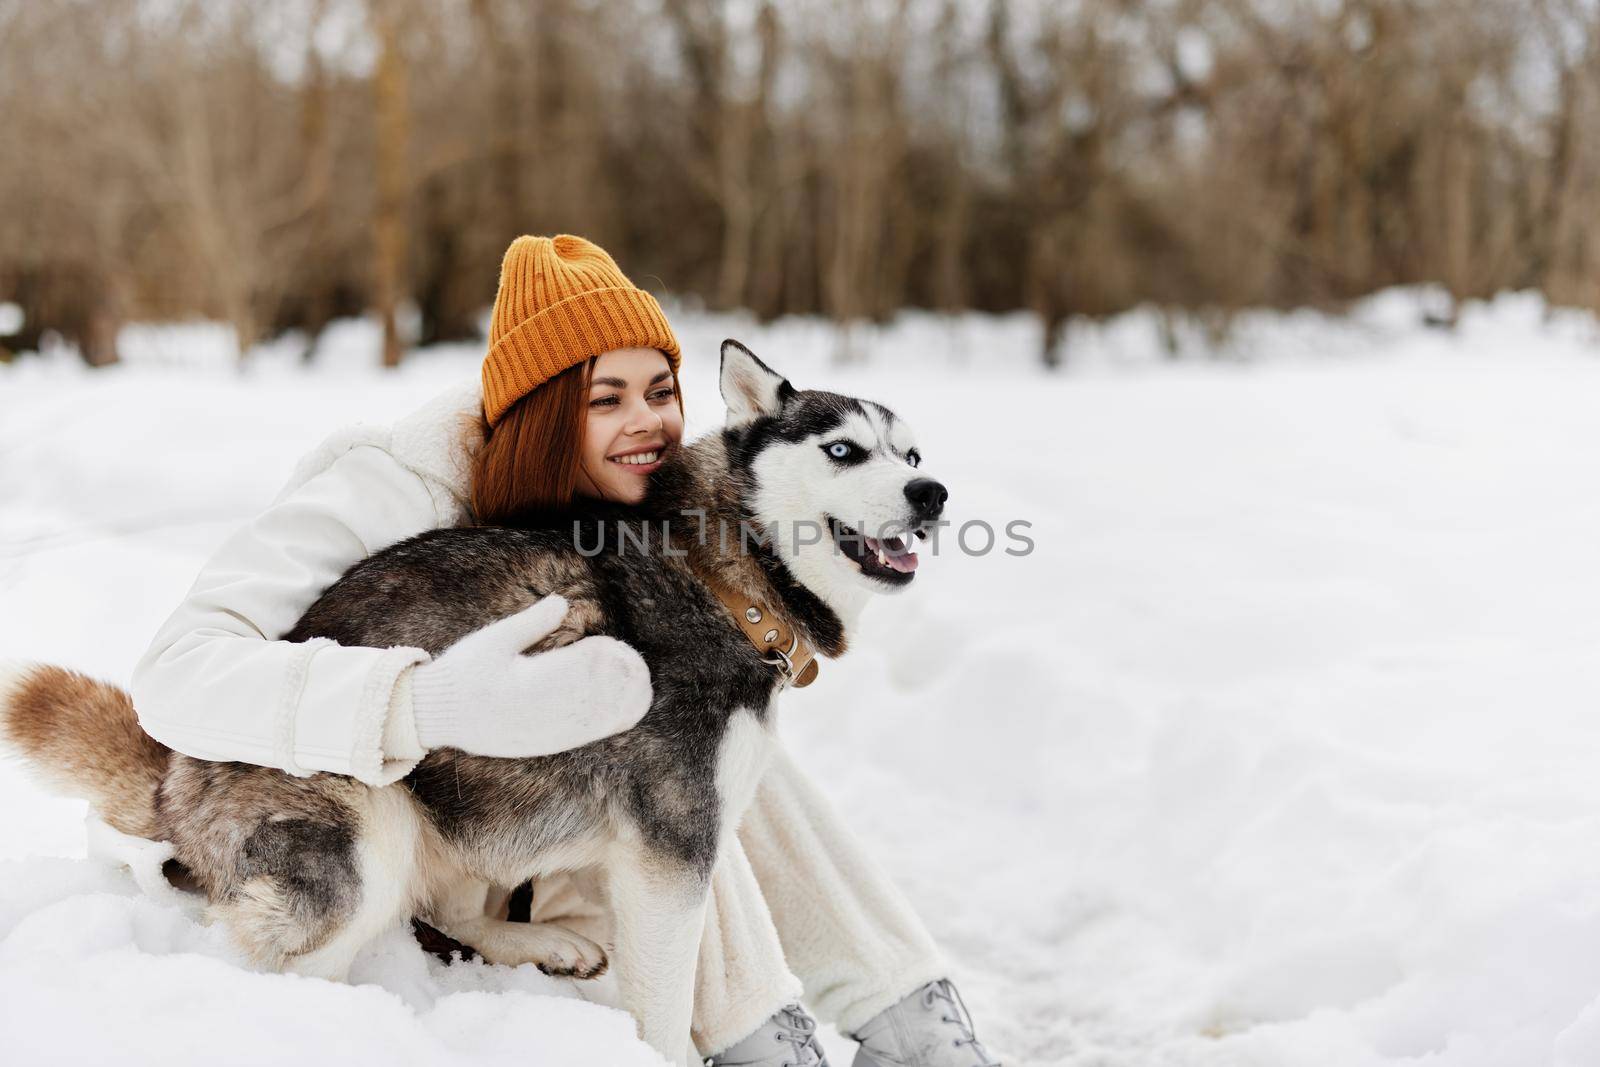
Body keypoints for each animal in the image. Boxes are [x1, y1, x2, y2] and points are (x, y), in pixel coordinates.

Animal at [0, 343, 940, 1067]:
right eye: (844, 450)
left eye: (911, 455)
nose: (933, 495)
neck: (726, 578)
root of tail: (174, 776)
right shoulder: (674, 846)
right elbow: (666, 1012)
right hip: (369, 825)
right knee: (292, 961)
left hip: (464, 816)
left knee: (448, 906)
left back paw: (538, 943)